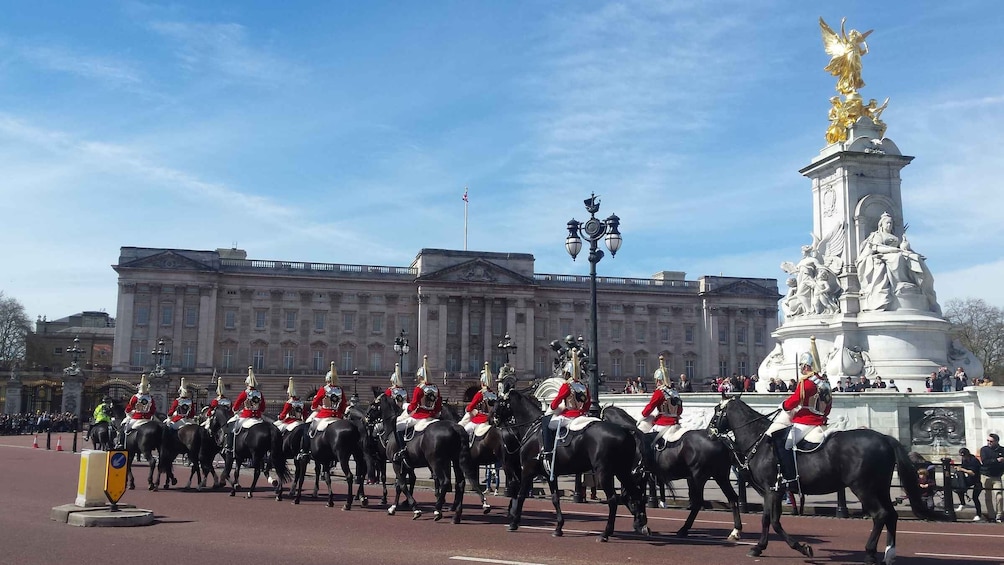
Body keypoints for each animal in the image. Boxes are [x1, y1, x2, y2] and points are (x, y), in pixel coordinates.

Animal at [375, 391, 487, 525]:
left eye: (373, 405)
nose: (366, 418)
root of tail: (455, 427)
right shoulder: (404, 465)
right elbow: (399, 486)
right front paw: (393, 507)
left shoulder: (396, 463)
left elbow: (402, 485)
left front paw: (415, 509)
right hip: (455, 461)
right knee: (460, 483)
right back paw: (456, 515)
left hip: (435, 462)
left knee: (445, 481)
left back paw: (438, 510)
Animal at [491, 383, 650, 541]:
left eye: (498, 401)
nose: (491, 419)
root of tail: (625, 430)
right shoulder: (550, 473)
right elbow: (555, 498)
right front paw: (558, 527)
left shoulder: (528, 470)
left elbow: (521, 495)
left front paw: (514, 522)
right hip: (622, 471)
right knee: (635, 494)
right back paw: (641, 524)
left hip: (604, 472)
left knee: (613, 499)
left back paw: (606, 533)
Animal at [598, 405, 742, 541]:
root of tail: (719, 440)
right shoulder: (640, 476)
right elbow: (636, 497)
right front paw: (641, 522)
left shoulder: (633, 475)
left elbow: (627, 497)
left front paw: (641, 524)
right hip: (720, 476)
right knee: (732, 498)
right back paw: (735, 531)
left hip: (698, 477)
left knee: (697, 502)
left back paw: (684, 529)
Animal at [710, 395, 935, 561]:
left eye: (715, 410)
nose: (710, 433)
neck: (759, 438)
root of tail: (885, 438)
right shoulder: (774, 490)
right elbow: (769, 519)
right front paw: (763, 547)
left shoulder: (772, 489)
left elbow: (772, 521)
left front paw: (798, 547)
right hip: (880, 487)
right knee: (891, 515)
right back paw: (890, 553)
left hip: (863, 488)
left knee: (880, 514)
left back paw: (870, 552)